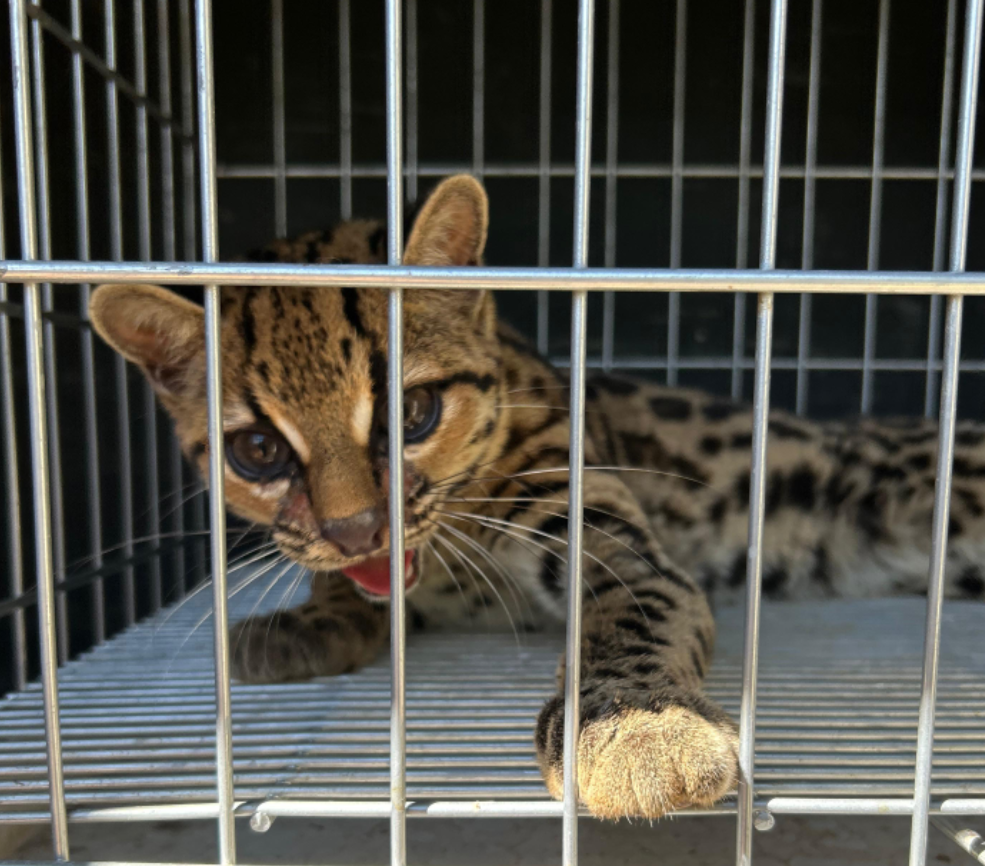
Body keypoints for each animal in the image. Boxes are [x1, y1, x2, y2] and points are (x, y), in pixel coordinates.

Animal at [89, 174, 985, 821]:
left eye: (412, 414)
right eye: (259, 451)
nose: (355, 529)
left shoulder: (602, 528)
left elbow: (633, 608)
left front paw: (639, 730)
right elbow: (354, 591)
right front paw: (311, 616)